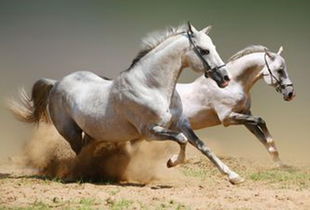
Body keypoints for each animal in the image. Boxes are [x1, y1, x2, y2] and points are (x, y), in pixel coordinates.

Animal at [9, 23, 246, 184]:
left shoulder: (181, 124)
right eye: (204, 50)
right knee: (79, 154)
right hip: (71, 132)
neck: (151, 86)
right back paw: (82, 174)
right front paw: (171, 162)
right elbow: (181, 140)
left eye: (213, 46)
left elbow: (202, 146)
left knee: (86, 152)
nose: (225, 78)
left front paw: (234, 176)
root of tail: (57, 83)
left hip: (92, 133)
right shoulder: (150, 132)